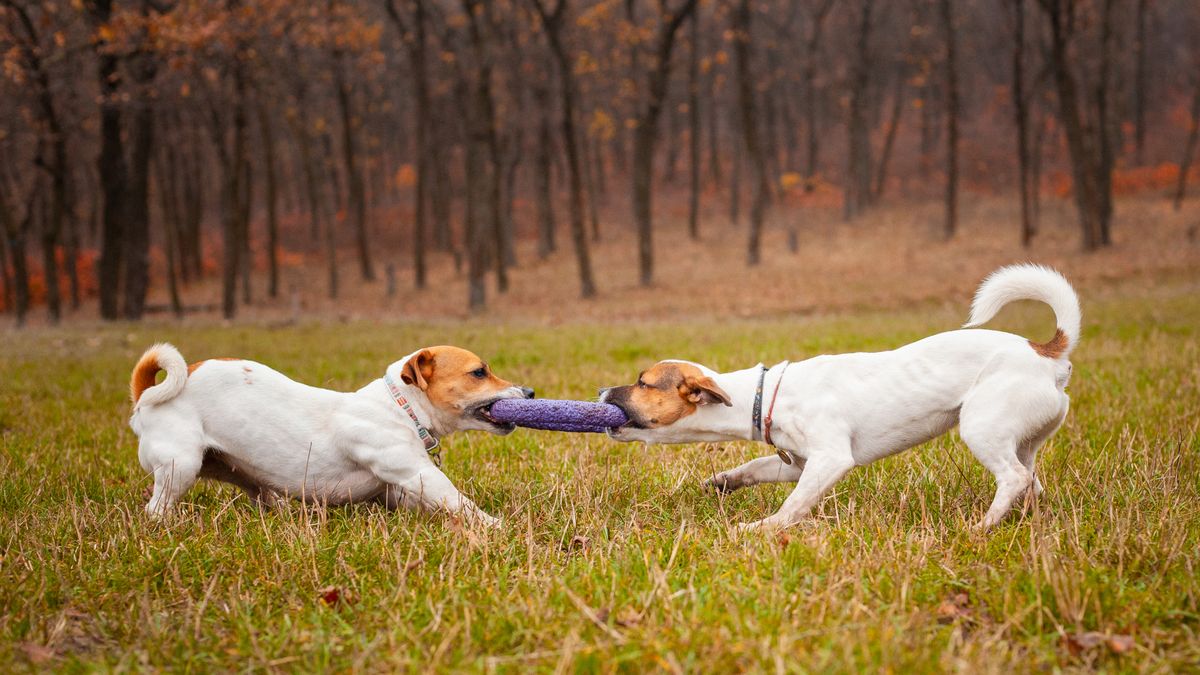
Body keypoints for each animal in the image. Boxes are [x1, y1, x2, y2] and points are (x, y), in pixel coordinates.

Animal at [604, 264, 1084, 530]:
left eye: (644, 382)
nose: (602, 391)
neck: (762, 396)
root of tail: (1047, 354)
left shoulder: (830, 459)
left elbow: (793, 507)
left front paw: (760, 528)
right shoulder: (797, 464)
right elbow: (756, 467)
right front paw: (724, 481)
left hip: (982, 427)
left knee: (1013, 479)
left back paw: (981, 526)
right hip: (1024, 439)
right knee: (1031, 480)